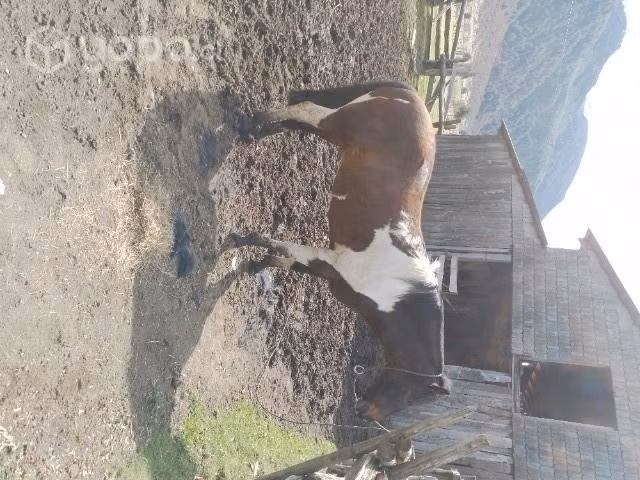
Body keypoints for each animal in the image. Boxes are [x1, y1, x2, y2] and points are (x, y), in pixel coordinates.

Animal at [224, 81, 451, 422]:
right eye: (413, 396)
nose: (365, 413)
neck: (396, 289)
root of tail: (411, 96)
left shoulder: (328, 270)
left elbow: (285, 260)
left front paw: (255, 266)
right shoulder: (329, 260)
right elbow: (276, 244)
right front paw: (237, 240)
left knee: (299, 123)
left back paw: (255, 132)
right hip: (337, 123)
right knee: (305, 111)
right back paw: (253, 122)